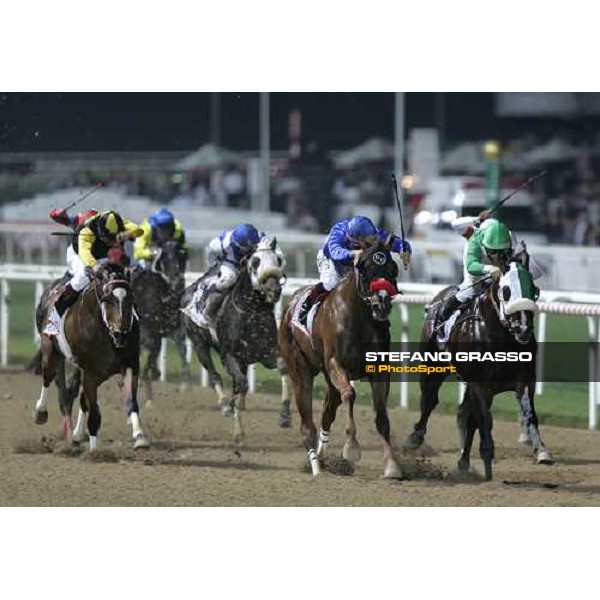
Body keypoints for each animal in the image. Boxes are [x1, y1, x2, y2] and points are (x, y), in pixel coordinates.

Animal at [34, 264, 149, 452]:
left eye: (131, 298)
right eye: (107, 299)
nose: (121, 334)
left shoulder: (130, 365)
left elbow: (130, 400)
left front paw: (140, 437)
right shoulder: (90, 371)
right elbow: (93, 411)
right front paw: (94, 452)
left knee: (81, 398)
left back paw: (76, 435)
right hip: (49, 347)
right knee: (48, 377)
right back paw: (40, 413)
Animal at [131, 238, 190, 398]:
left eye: (181, 257)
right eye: (165, 258)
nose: (177, 280)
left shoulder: (173, 331)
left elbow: (182, 350)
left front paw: (184, 384)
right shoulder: (146, 333)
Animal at [182, 237, 290, 442]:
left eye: (278, 260)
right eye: (255, 262)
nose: (274, 290)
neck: (251, 312)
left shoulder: (267, 353)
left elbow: (282, 367)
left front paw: (285, 416)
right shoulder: (229, 356)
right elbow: (241, 384)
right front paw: (235, 422)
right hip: (199, 343)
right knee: (214, 375)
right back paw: (225, 404)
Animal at [282, 239, 404, 478]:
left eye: (393, 269)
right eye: (364, 267)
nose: (382, 302)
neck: (360, 317)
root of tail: (291, 303)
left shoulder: (379, 369)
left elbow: (382, 416)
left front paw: (392, 465)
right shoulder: (335, 363)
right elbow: (349, 393)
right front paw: (351, 448)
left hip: (328, 380)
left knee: (327, 413)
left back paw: (321, 459)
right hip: (300, 368)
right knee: (307, 424)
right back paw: (316, 468)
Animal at [406, 264, 552, 480]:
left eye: (533, 290)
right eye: (506, 291)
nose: (523, 328)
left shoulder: (524, 381)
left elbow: (528, 415)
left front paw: (541, 451)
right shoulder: (481, 385)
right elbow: (482, 421)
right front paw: (487, 461)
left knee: (466, 415)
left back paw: (464, 461)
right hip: (432, 367)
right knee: (429, 401)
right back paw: (415, 438)